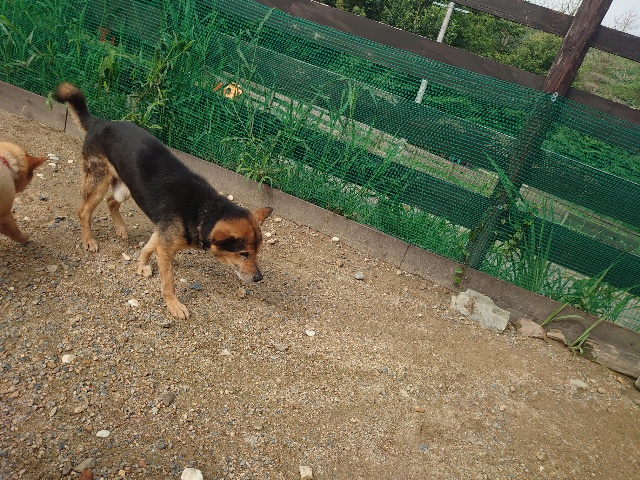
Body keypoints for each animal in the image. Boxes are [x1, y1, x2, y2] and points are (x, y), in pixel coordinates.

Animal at [53, 82, 272, 319]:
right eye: (244, 254)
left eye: (257, 252)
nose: (259, 278)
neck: (203, 209)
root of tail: (99, 122)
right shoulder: (167, 249)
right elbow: (168, 282)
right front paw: (174, 305)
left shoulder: (162, 233)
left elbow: (149, 247)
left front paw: (141, 264)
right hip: (99, 180)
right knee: (84, 211)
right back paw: (88, 240)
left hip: (128, 187)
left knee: (112, 201)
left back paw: (120, 228)